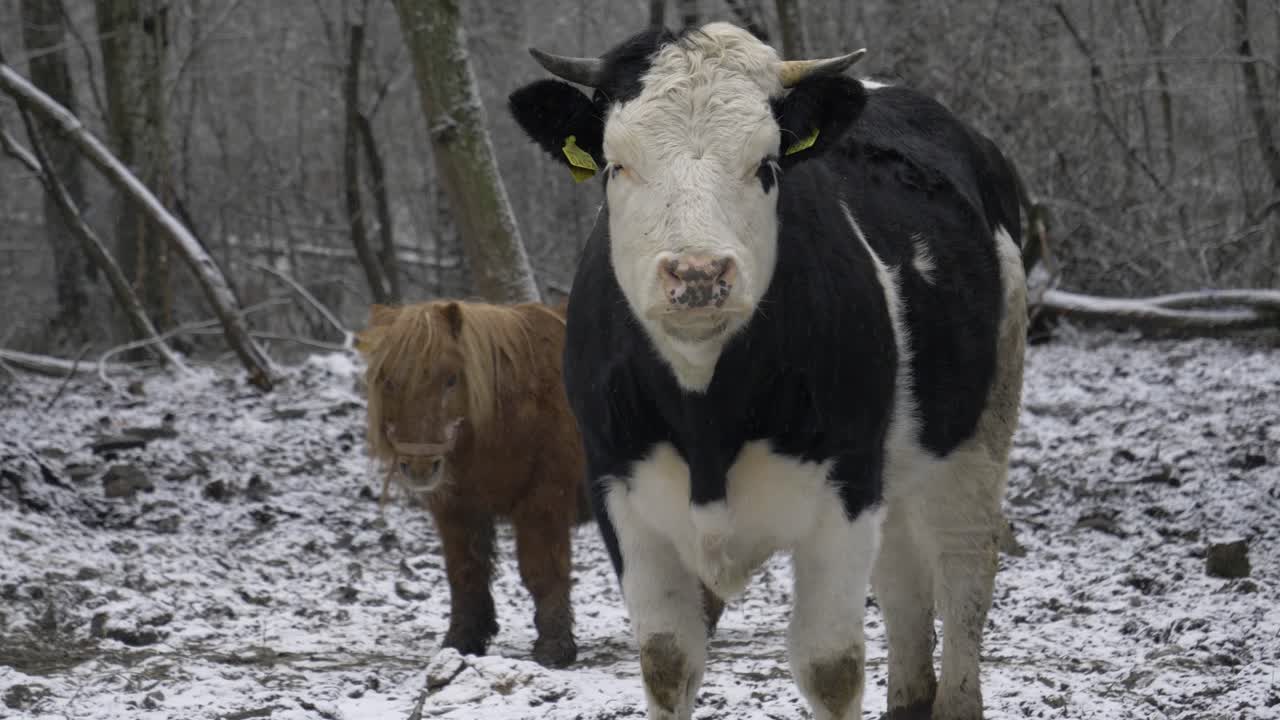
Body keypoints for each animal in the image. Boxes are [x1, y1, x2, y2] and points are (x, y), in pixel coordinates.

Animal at [357, 299, 589, 668]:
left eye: (451, 379)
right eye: (389, 381)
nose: (420, 467)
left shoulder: (544, 502)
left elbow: (543, 571)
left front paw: (554, 648)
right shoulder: (458, 510)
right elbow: (465, 573)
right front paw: (462, 641)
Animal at [508, 22, 1026, 720]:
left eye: (766, 165)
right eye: (617, 165)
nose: (698, 274)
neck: (707, 413)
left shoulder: (845, 484)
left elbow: (831, 666)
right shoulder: (618, 489)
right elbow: (667, 662)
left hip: (979, 429)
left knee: (963, 562)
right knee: (901, 577)